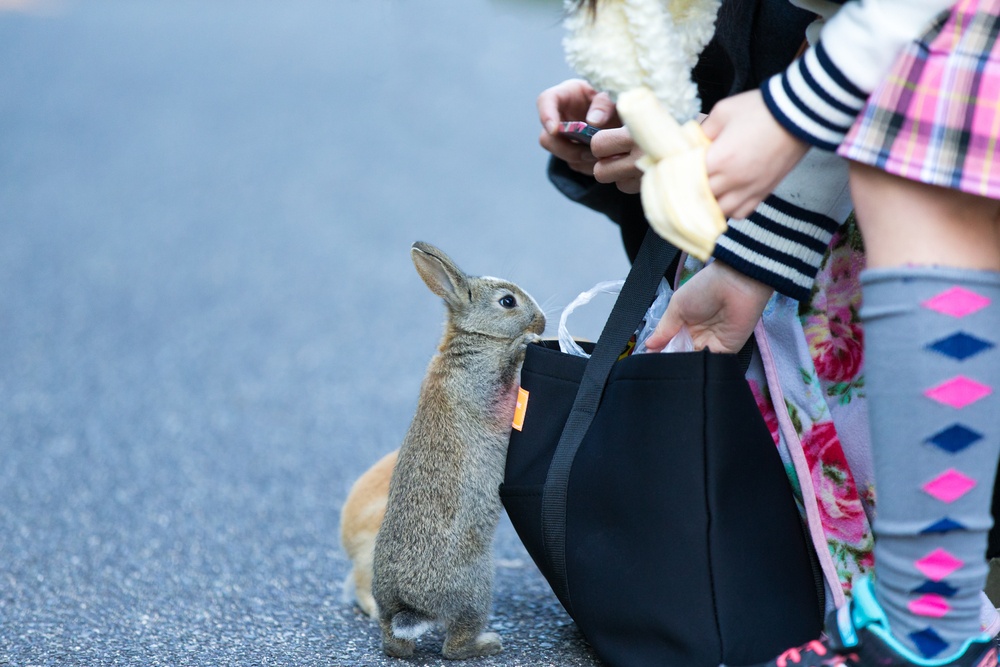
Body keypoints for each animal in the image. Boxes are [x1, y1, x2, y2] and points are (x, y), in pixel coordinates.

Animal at [372, 243, 548, 660]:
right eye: (507, 301)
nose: (542, 323)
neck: (476, 339)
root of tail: (409, 604)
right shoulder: (486, 391)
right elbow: (506, 381)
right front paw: (523, 346)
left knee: (394, 643)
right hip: (475, 588)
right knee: (454, 645)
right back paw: (489, 643)